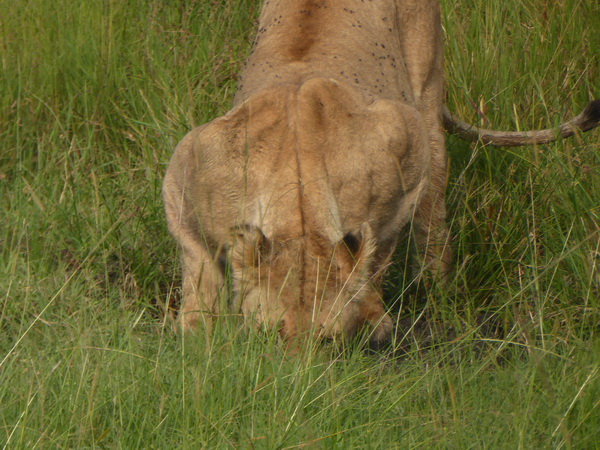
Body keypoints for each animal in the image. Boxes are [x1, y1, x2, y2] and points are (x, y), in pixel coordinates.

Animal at [162, 0, 596, 344]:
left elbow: (378, 252)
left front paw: (374, 320)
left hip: (427, 94)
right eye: (270, 335)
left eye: (328, 340)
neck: (298, 197)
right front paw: (196, 335)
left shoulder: (404, 148)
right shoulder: (187, 169)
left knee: (433, 219)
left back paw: (439, 292)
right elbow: (199, 267)